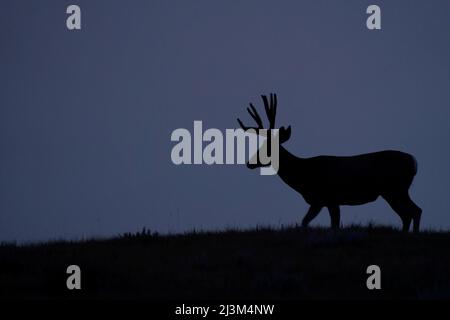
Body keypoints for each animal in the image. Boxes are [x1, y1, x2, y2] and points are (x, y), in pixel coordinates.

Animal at [237, 93, 424, 232]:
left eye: (268, 147)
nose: (249, 163)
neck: (303, 174)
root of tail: (414, 162)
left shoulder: (331, 198)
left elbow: (334, 226)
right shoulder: (318, 202)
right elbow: (304, 222)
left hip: (395, 188)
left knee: (414, 211)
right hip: (393, 191)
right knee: (409, 214)